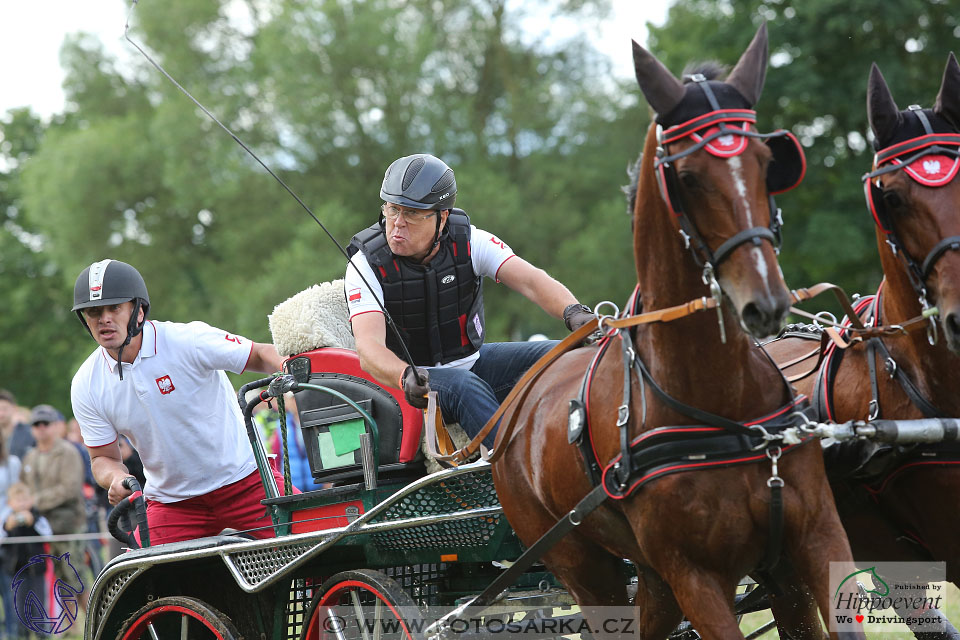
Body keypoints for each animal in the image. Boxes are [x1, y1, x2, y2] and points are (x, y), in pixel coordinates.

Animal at [492, 25, 860, 640]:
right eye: (687, 177)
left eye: (767, 161)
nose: (766, 302)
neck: (722, 403)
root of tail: (512, 411)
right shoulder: (697, 576)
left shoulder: (812, 544)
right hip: (584, 568)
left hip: (659, 577)